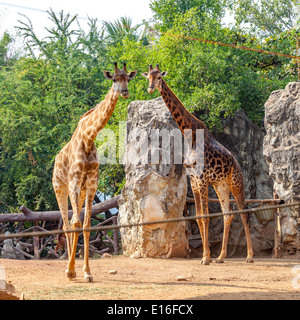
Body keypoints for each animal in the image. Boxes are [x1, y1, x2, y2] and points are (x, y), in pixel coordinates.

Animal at [52, 62, 137, 280]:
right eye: (114, 79)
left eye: (128, 78)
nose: (125, 92)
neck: (89, 137)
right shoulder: (74, 182)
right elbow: (75, 224)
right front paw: (71, 271)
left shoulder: (91, 184)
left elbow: (86, 224)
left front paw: (86, 272)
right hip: (60, 186)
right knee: (66, 224)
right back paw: (67, 268)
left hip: (79, 191)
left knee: (71, 221)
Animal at [142, 64, 253, 264]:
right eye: (148, 77)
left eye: (159, 77)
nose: (151, 89)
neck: (189, 134)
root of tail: (237, 163)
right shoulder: (193, 180)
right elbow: (200, 217)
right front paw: (206, 256)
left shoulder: (201, 179)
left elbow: (206, 217)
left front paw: (206, 258)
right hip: (220, 185)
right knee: (227, 213)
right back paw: (221, 257)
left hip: (235, 182)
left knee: (243, 212)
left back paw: (249, 256)